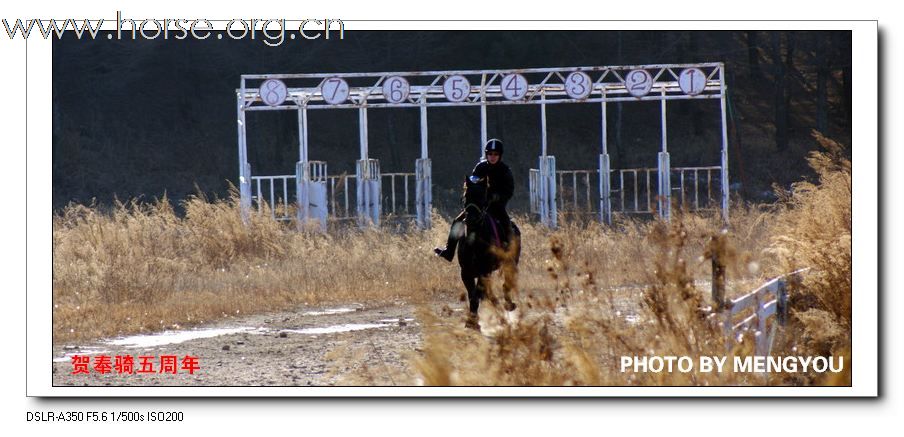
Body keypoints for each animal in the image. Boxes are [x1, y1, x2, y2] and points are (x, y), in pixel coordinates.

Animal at [460, 176, 524, 328]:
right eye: (465, 195)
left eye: (483, 197)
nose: (471, 219)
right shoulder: (465, 272)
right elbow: (473, 294)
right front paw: (472, 320)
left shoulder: (484, 270)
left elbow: (478, 293)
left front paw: (473, 320)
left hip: (510, 263)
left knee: (506, 284)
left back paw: (508, 305)